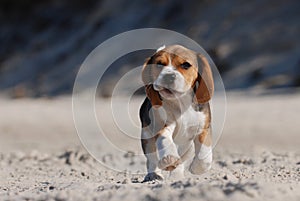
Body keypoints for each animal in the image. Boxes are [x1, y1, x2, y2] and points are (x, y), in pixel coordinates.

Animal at [139, 44, 214, 181]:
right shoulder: (162, 126)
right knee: (152, 160)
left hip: (188, 148)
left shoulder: (203, 128)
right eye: (159, 64)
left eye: (186, 65)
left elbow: (205, 154)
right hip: (146, 138)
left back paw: (177, 175)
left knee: (182, 160)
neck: (180, 101)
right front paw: (169, 159)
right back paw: (154, 174)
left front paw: (196, 168)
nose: (168, 76)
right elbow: (165, 141)